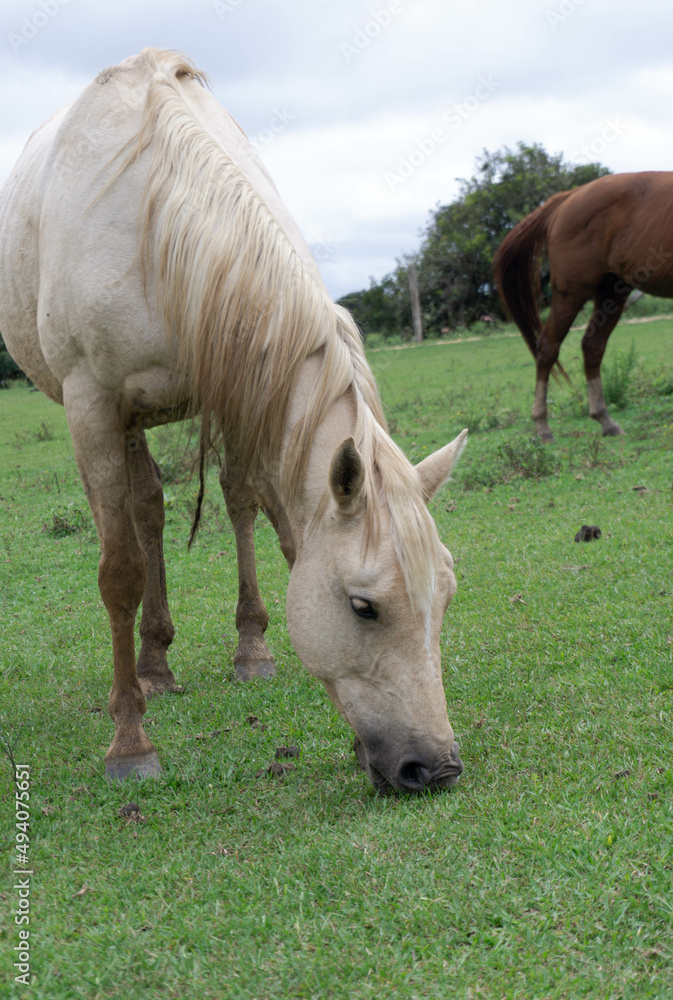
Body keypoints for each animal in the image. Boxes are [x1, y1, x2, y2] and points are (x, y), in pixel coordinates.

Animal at [0, 49, 467, 795]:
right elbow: (119, 571)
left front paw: (268, 660)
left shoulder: (242, 386)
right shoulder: (92, 404)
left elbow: (272, 526)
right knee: (140, 518)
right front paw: (129, 744)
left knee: (179, 506)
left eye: (445, 594)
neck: (157, 219)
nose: (437, 766)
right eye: (363, 606)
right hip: (118, 419)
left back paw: (190, 658)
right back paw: (141, 678)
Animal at [493, 171, 673, 441]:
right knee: (548, 349)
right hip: (571, 295)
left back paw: (605, 421)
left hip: (612, 292)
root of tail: (569, 196)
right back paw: (543, 427)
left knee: (592, 347)